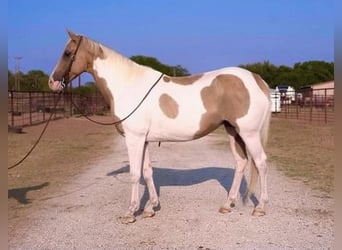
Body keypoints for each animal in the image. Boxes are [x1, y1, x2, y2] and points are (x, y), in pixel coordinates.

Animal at [49, 30, 272, 224]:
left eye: (67, 53)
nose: (52, 82)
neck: (127, 86)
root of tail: (256, 79)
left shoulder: (134, 139)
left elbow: (135, 173)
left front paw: (131, 212)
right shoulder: (145, 140)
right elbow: (147, 171)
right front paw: (150, 208)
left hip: (249, 134)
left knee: (260, 163)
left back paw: (260, 207)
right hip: (233, 131)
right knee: (241, 163)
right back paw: (227, 204)